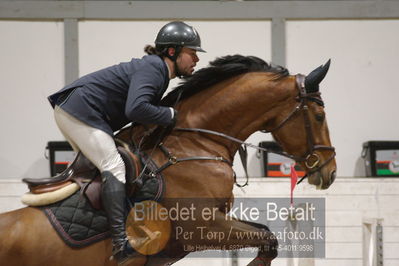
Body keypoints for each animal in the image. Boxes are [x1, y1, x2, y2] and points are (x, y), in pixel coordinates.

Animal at [0, 54, 336, 266]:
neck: (195, 143)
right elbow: (267, 239)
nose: (330, 171)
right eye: (319, 115)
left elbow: (267, 235)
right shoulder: (202, 229)